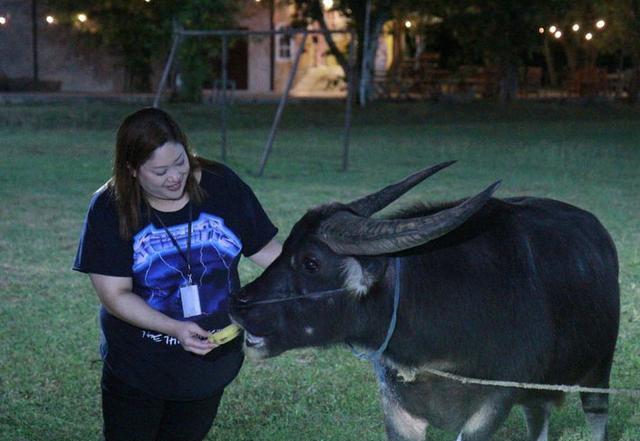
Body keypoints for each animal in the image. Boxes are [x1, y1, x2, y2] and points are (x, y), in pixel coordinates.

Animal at [230, 162, 620, 440]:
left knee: (597, 413)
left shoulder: (493, 403)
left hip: (599, 369)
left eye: (311, 262)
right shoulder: (398, 409)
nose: (238, 304)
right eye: (285, 248)